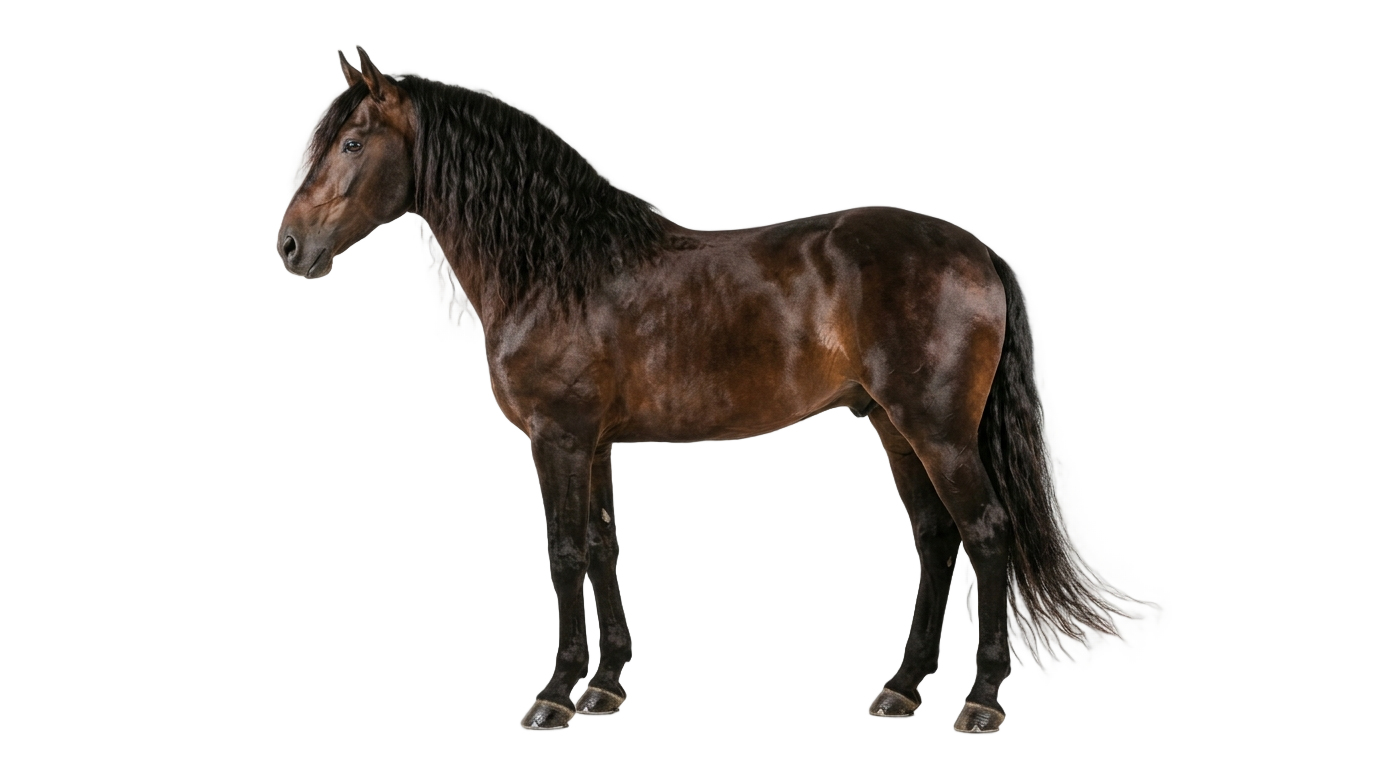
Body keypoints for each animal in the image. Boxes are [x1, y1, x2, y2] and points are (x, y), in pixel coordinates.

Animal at [276, 47, 1116, 733]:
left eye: (351, 143)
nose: (290, 245)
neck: (558, 266)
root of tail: (974, 250)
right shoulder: (593, 442)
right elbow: (604, 545)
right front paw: (607, 686)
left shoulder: (558, 437)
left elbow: (565, 553)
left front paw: (558, 694)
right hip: (893, 425)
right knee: (936, 538)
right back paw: (902, 689)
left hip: (937, 431)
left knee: (986, 532)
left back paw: (983, 701)